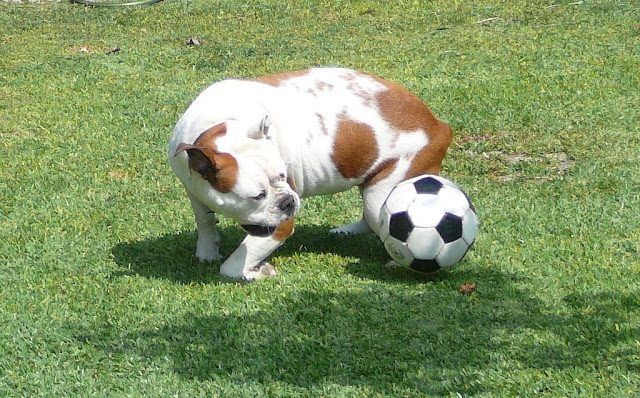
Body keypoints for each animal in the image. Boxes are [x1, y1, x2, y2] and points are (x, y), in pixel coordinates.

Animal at [168, 67, 452, 280]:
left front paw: (255, 271)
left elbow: (232, 266)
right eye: (257, 196)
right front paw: (207, 251)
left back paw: (397, 262)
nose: (288, 201)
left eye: (283, 176)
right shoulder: (194, 188)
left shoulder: (279, 225)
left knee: (380, 215)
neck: (222, 124)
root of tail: (437, 124)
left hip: (386, 188)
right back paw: (350, 230)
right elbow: (204, 220)